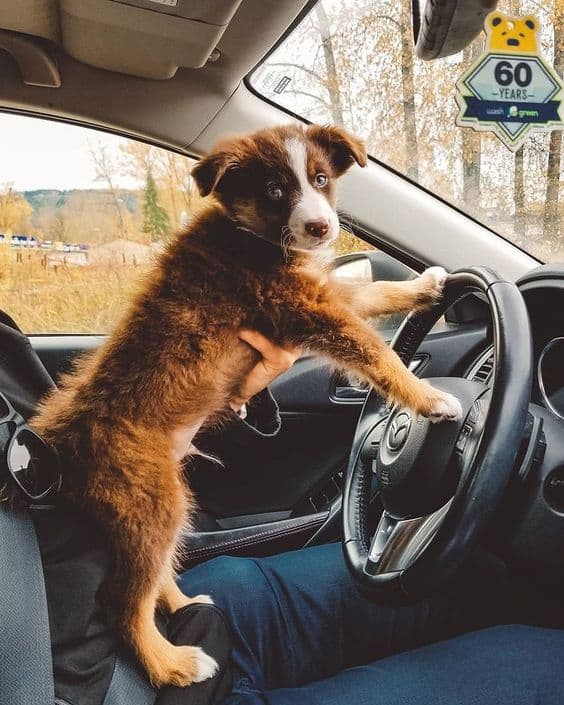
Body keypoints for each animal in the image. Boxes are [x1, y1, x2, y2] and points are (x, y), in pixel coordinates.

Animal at [30, 121, 460, 688]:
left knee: (155, 573)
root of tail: (64, 444)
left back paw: (183, 603)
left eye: (320, 178)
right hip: (150, 499)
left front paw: (425, 286)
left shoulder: (315, 295)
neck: (251, 234)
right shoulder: (301, 307)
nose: (321, 227)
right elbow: (377, 352)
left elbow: (374, 294)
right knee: (124, 602)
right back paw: (172, 663)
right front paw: (430, 398)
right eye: (275, 190)